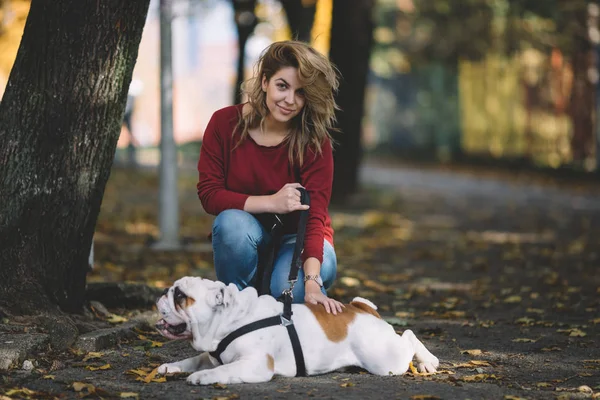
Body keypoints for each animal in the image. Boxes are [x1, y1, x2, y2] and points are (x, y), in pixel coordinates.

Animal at [152, 276, 438, 386]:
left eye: (180, 295)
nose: (163, 290)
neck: (230, 320)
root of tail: (361, 309)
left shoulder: (256, 364)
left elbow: (223, 369)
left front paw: (203, 377)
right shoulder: (209, 353)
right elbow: (193, 359)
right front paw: (171, 367)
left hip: (385, 360)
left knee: (409, 335)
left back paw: (428, 362)